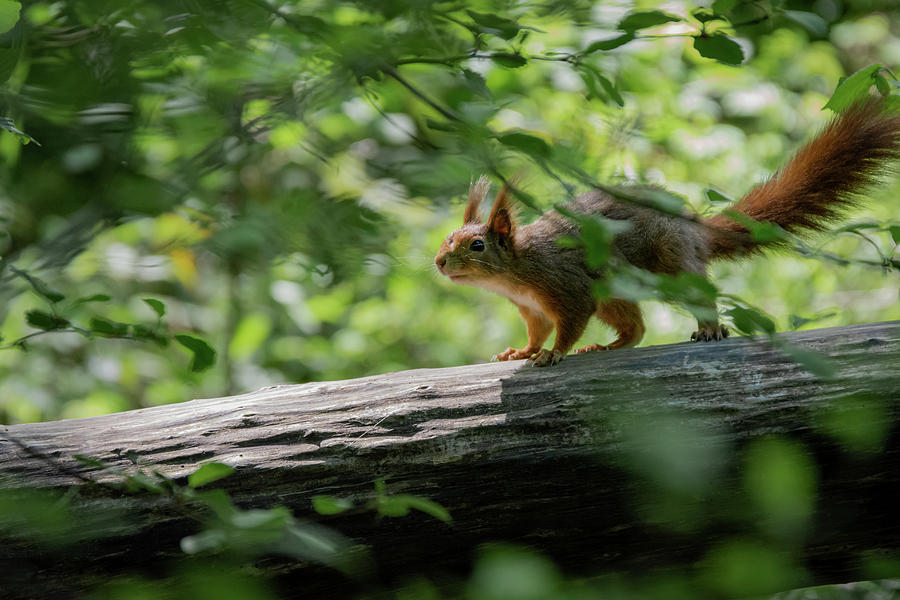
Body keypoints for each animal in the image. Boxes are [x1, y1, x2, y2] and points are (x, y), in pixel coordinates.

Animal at [434, 99, 900, 366]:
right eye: (446, 239)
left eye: (477, 245)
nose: (438, 262)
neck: (517, 268)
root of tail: (694, 227)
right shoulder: (531, 307)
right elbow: (537, 330)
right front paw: (523, 351)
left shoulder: (565, 285)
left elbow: (568, 324)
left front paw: (551, 355)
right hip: (618, 292)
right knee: (635, 329)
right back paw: (608, 347)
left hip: (671, 262)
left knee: (697, 295)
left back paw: (710, 329)